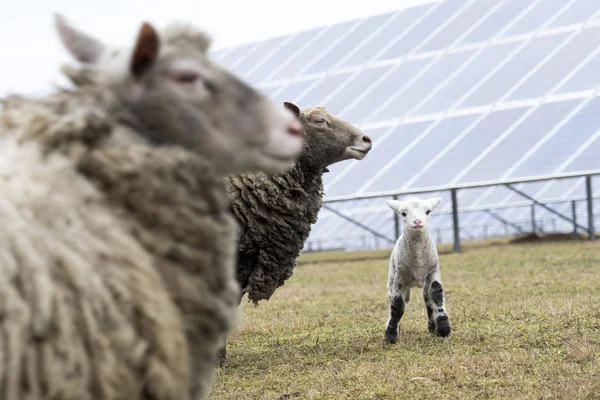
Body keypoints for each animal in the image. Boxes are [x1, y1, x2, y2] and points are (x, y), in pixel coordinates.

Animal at [384, 197, 450, 344]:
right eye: (403, 213)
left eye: (428, 211)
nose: (417, 222)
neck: (418, 262)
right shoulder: (399, 280)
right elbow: (397, 306)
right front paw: (390, 335)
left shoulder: (433, 271)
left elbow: (437, 294)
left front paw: (443, 329)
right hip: (392, 280)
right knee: (393, 302)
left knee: (427, 299)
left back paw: (432, 327)